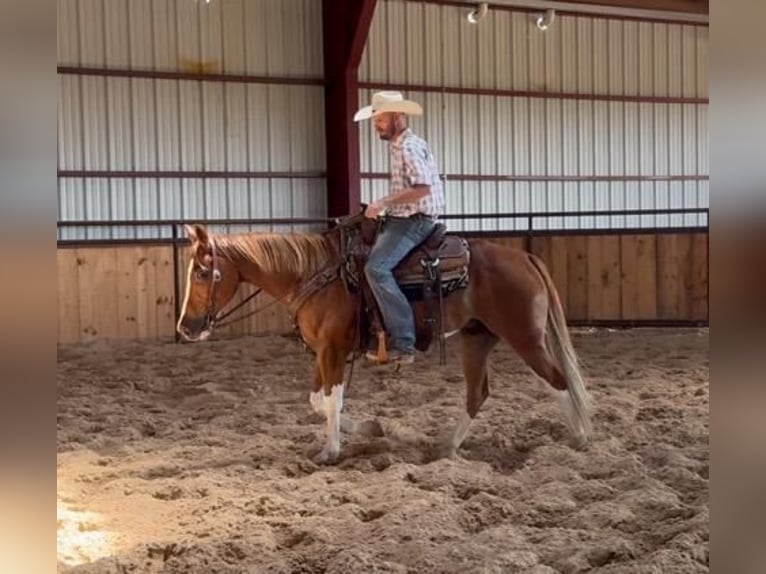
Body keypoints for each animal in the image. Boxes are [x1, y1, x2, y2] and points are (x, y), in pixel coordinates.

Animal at [177, 223, 592, 466]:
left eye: (202, 273)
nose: (185, 327)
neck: (315, 276)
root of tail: (525, 257)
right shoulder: (322, 352)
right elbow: (317, 401)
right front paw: (368, 428)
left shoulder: (333, 350)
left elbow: (332, 400)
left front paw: (331, 450)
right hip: (477, 338)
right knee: (478, 393)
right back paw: (447, 449)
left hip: (525, 337)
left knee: (557, 381)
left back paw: (582, 439)